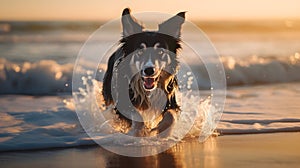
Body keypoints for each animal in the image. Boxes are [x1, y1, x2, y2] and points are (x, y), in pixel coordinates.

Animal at [102, 7, 184, 136]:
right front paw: (141, 131)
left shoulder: (171, 100)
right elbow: (137, 116)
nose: (149, 70)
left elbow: (171, 116)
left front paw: (162, 132)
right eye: (140, 52)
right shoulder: (121, 104)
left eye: (160, 51)